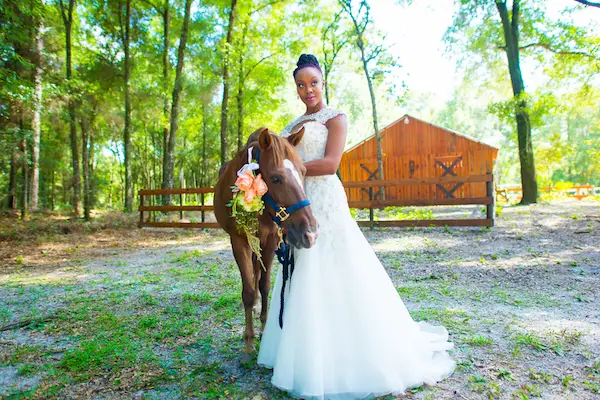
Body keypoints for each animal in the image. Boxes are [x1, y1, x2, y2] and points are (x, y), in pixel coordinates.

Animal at [214, 126, 318, 360]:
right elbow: (248, 291)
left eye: (303, 172)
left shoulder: (270, 241)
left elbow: (264, 285)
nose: (310, 233)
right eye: (276, 178)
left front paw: (264, 329)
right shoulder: (239, 241)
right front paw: (248, 341)